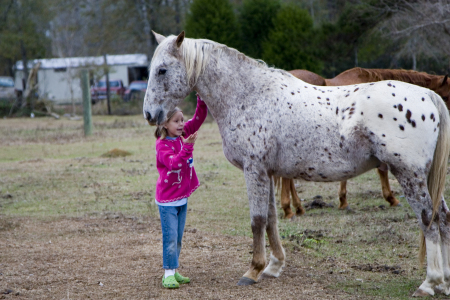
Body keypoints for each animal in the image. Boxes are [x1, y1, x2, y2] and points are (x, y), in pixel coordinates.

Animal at [276, 67, 450, 218]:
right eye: (447, 95)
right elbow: (381, 170)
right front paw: (390, 198)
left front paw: (343, 201)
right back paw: (289, 209)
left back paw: (298, 207)